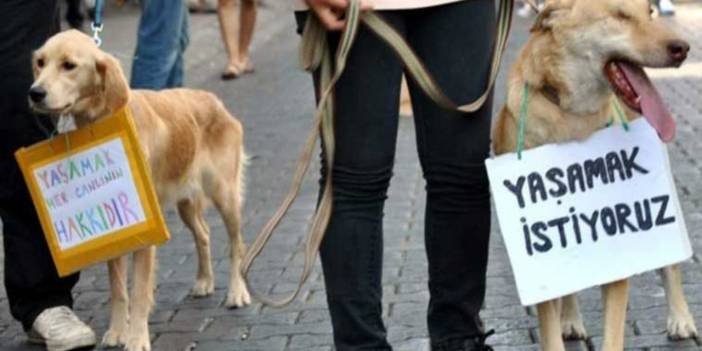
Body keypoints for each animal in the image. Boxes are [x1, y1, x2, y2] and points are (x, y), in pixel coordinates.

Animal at [28, 31, 253, 351]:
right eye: (40, 63)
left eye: (68, 65)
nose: (35, 93)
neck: (102, 118)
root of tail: (215, 101)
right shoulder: (117, 231)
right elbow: (118, 289)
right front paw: (116, 332)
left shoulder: (146, 234)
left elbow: (138, 292)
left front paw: (136, 339)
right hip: (186, 204)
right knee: (204, 235)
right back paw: (204, 282)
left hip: (225, 195)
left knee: (236, 245)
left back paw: (236, 292)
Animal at [496, 0, 700, 351]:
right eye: (619, 15)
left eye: (650, 12)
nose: (683, 48)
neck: (572, 118)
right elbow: (550, 328)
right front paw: (562, 324)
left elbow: (613, 333)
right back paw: (571, 319)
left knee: (671, 265)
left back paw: (680, 318)